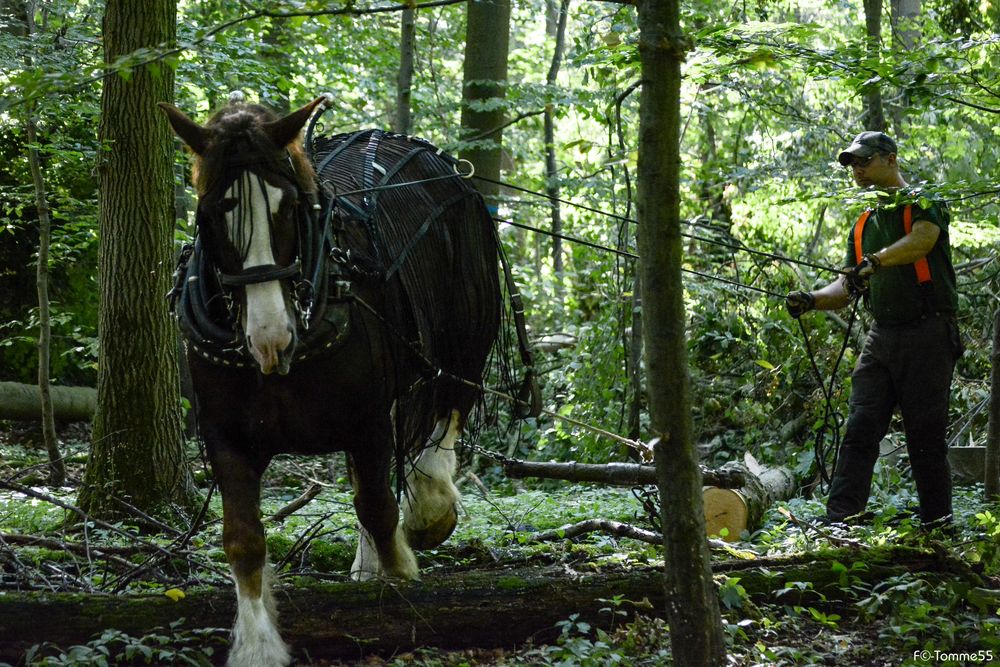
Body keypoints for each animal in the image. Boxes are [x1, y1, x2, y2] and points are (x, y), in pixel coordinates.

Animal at [161, 95, 512, 667]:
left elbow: (379, 506)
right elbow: (244, 539)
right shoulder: (226, 436)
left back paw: (431, 506)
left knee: (449, 407)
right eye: (211, 214)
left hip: (465, 335)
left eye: (289, 207)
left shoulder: (366, 418)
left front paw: (401, 584)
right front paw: (258, 646)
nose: (270, 336)